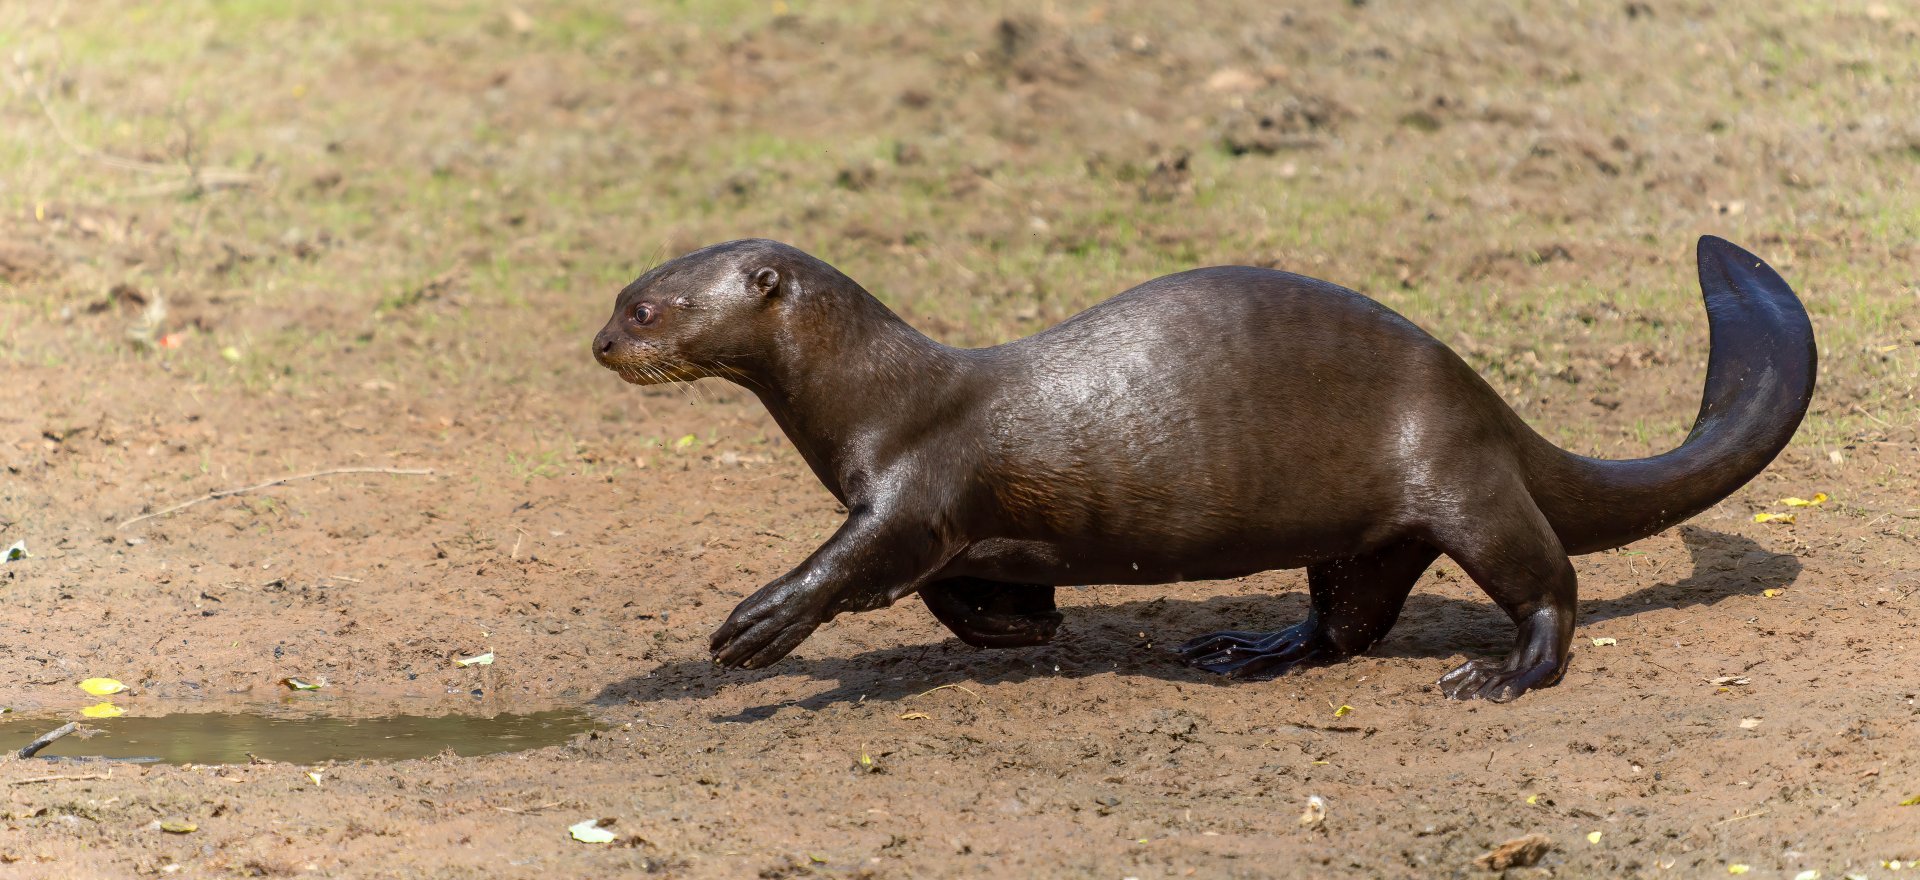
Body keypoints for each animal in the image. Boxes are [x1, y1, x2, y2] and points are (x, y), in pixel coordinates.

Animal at [591, 236, 1814, 701]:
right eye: (619, 294)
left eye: (648, 307)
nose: (601, 342)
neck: (873, 395)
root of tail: (1482, 395)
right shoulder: (941, 514)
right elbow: (957, 586)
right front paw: (1021, 624)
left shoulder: (911, 486)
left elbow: (861, 563)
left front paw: (755, 625)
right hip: (1368, 529)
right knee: (1347, 618)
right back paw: (1250, 649)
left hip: (1462, 479)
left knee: (1550, 579)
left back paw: (1508, 672)